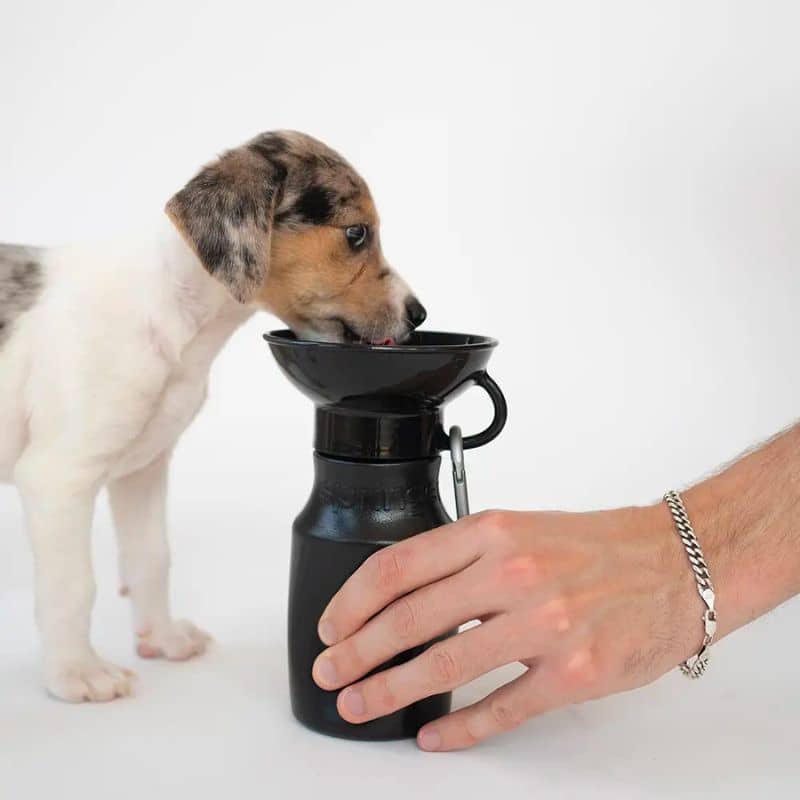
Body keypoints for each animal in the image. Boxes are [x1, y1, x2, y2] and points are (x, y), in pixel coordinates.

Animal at [0, 130, 428, 700]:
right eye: (357, 233)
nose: (419, 314)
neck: (172, 308)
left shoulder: (143, 468)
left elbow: (152, 558)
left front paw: (161, 638)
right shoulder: (58, 478)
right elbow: (73, 586)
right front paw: (76, 673)